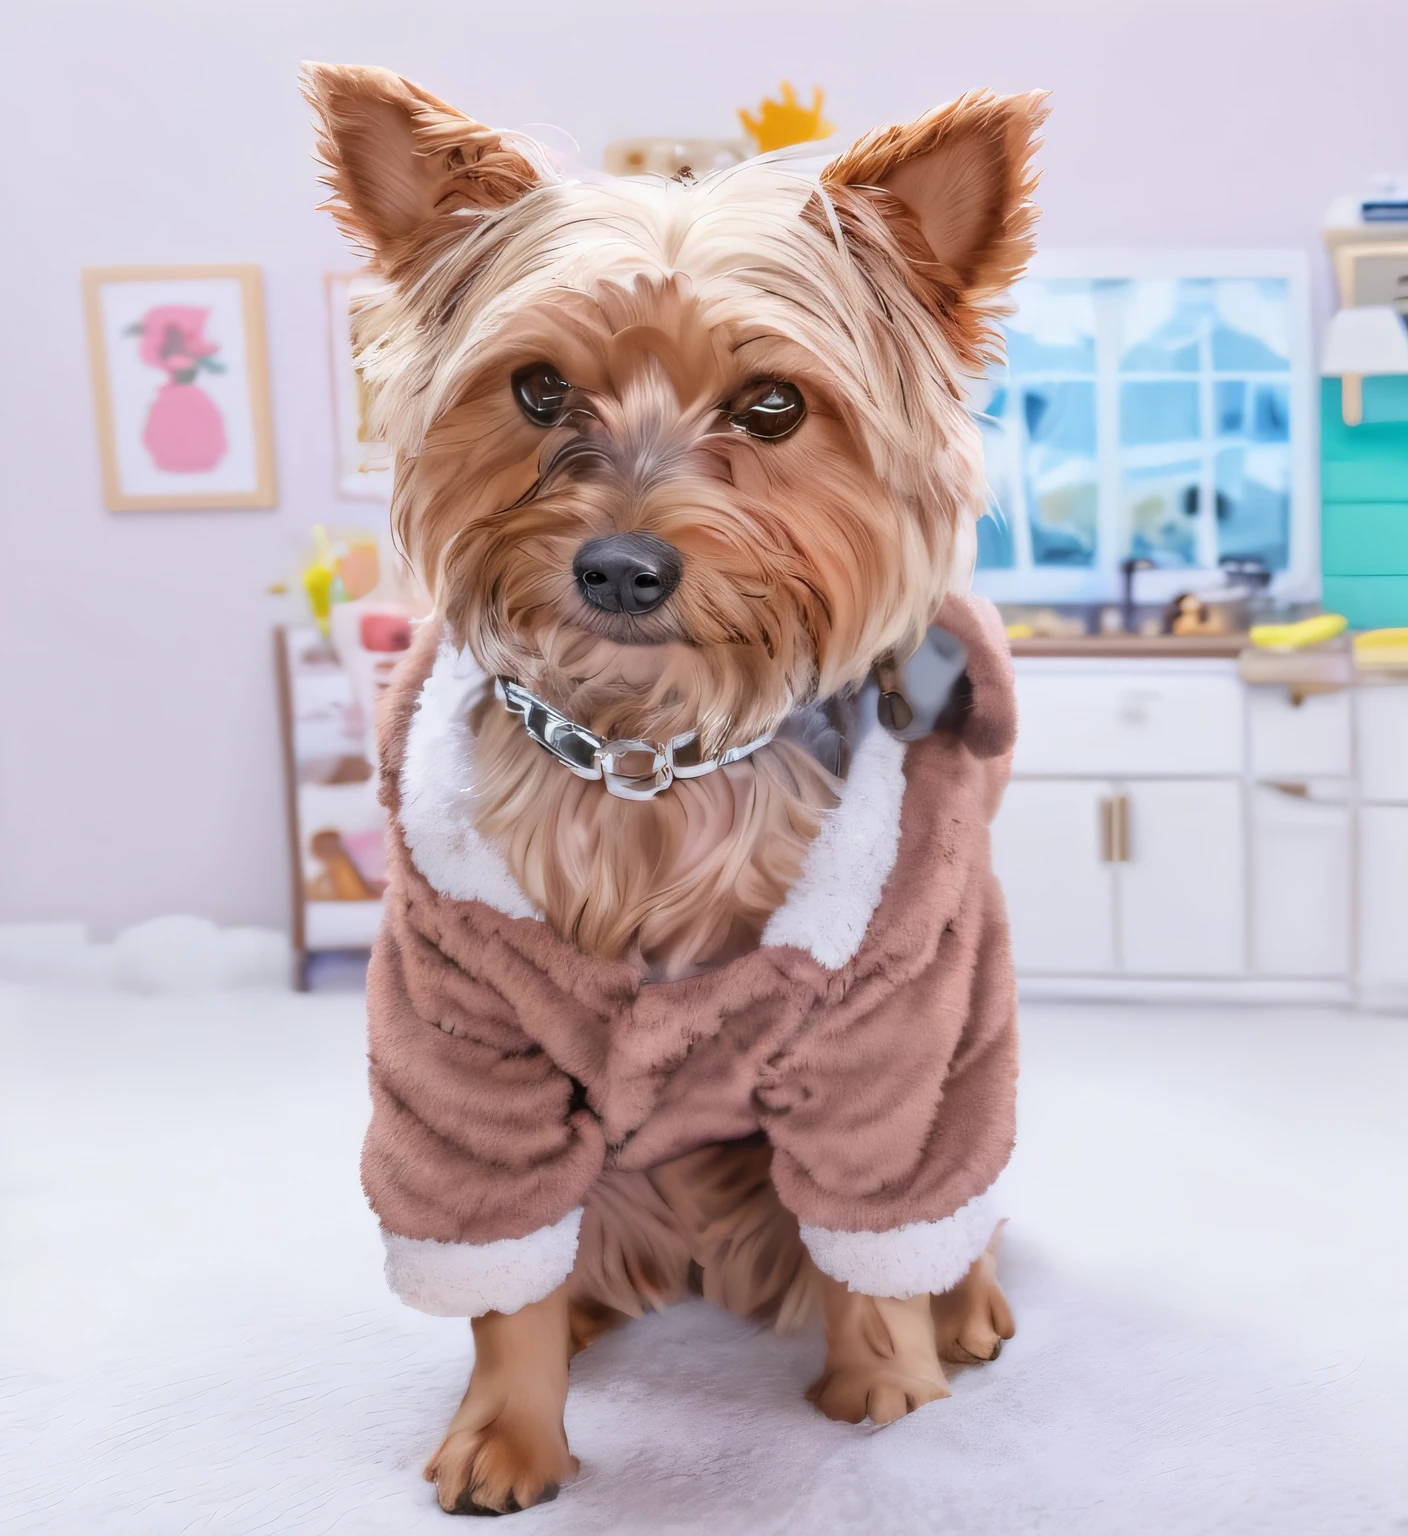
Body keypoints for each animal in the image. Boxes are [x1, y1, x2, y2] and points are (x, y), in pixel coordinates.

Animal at [299, 66, 1044, 1517]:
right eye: (536, 388)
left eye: (772, 406)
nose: (621, 568)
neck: (651, 758)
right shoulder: (457, 1040)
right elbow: (495, 1272)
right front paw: (506, 1434)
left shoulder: (887, 1031)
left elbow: (880, 1224)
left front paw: (887, 1396)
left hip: (970, 1055)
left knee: (955, 1204)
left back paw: (968, 1307)